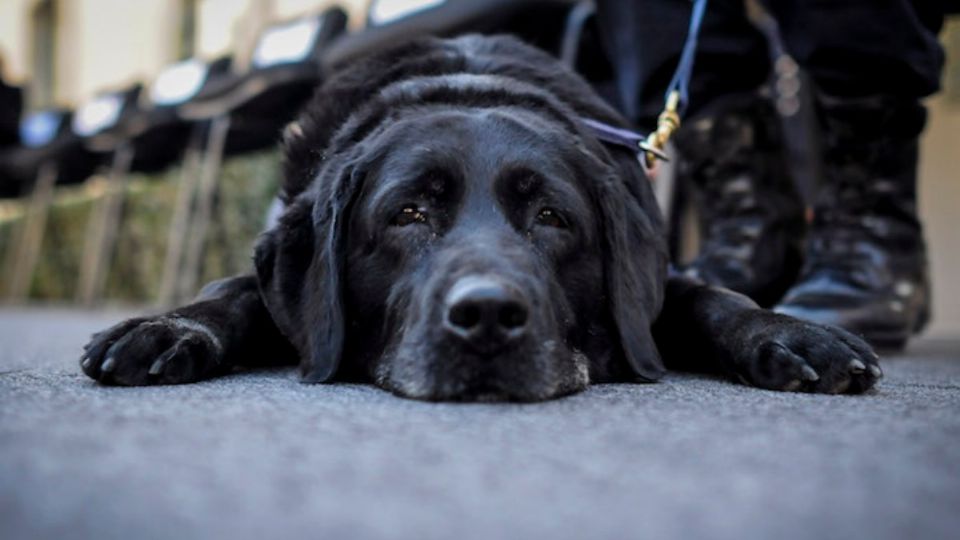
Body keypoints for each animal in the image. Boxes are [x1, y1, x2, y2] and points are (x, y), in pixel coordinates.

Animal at [79, 34, 880, 400]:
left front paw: (794, 334)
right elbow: (233, 291)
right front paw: (167, 328)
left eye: (553, 217)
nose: (488, 315)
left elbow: (714, 297)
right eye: (407, 213)